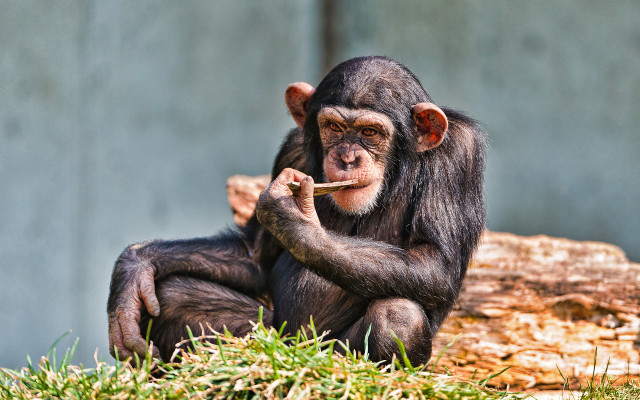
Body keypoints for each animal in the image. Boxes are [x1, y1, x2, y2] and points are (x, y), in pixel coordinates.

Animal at [107, 56, 486, 365]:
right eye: (334, 127)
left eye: (369, 132)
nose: (347, 157)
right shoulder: (291, 152)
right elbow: (254, 255)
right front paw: (134, 268)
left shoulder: (459, 154)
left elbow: (434, 261)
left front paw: (292, 219)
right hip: (272, 334)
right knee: (173, 296)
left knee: (399, 316)